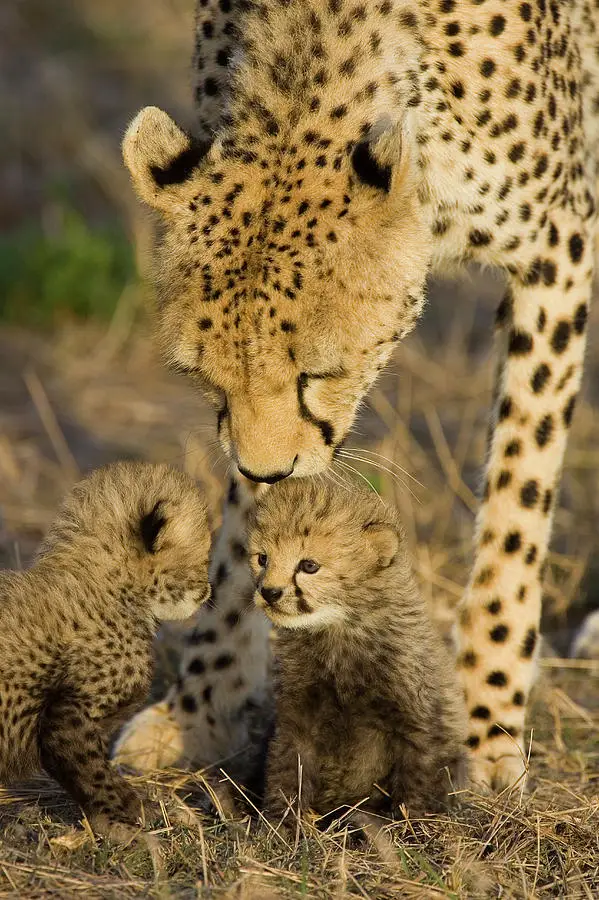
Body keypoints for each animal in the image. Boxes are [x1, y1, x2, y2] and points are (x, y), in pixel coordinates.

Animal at [117, 0, 599, 788]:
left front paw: (482, 721)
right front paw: (201, 710)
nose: (265, 467)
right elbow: (246, 531)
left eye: (320, 374)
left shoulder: (557, 252)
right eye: (207, 379)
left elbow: (515, 507)